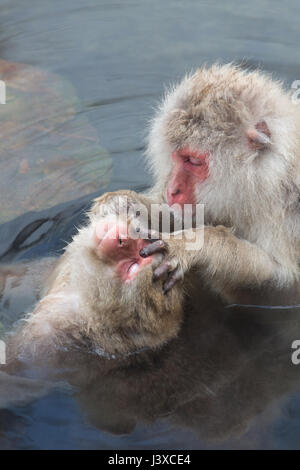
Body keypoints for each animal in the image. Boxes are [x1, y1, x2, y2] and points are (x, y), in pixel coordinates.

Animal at [145, 63, 300, 298]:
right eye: (177, 157)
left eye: (193, 161)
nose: (172, 190)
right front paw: (126, 204)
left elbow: (285, 286)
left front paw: (199, 245)